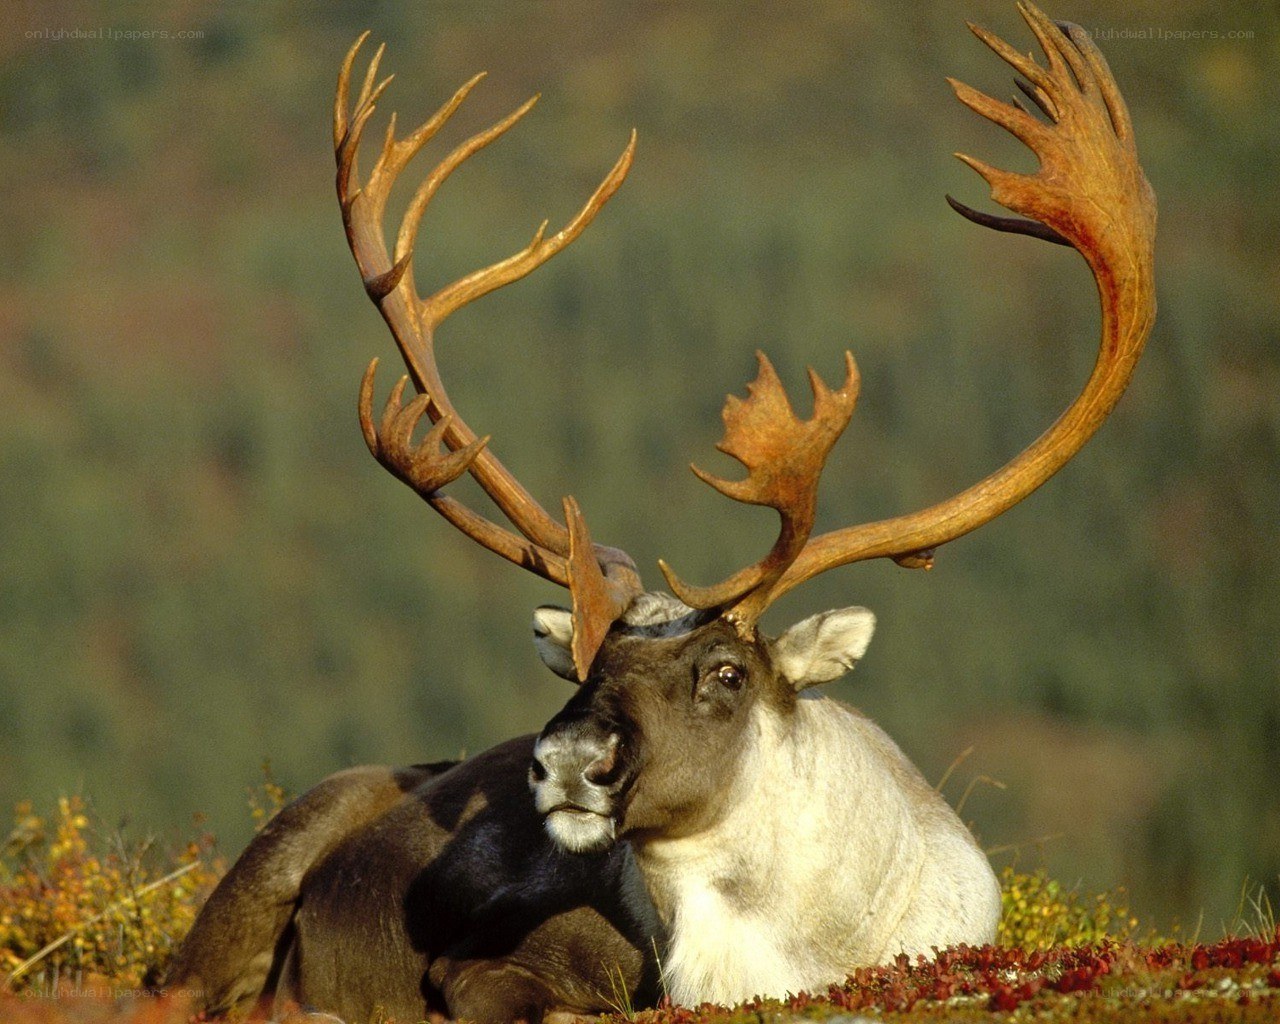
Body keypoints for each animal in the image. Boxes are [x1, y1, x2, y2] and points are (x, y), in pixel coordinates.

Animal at [164, 5, 1155, 1021]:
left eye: (726, 673)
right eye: (586, 662)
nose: (567, 761)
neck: (780, 953)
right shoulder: (479, 967)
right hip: (273, 851)